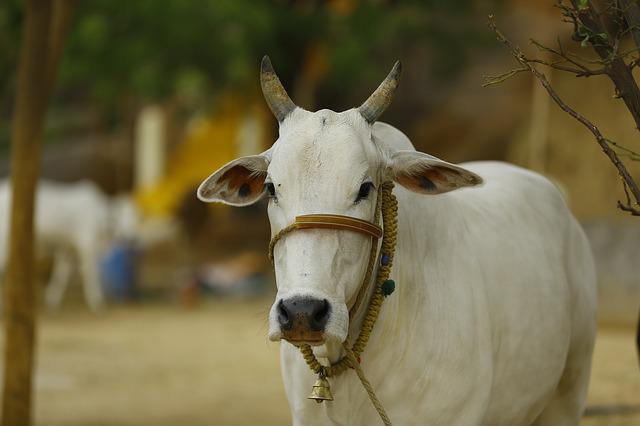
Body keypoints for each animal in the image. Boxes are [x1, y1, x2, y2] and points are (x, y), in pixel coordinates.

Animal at [0, 178, 139, 312]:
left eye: (136, 218)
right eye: (119, 217)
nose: (131, 237)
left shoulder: (67, 248)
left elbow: (61, 274)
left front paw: (52, 300)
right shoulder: (87, 245)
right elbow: (91, 273)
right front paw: (97, 302)